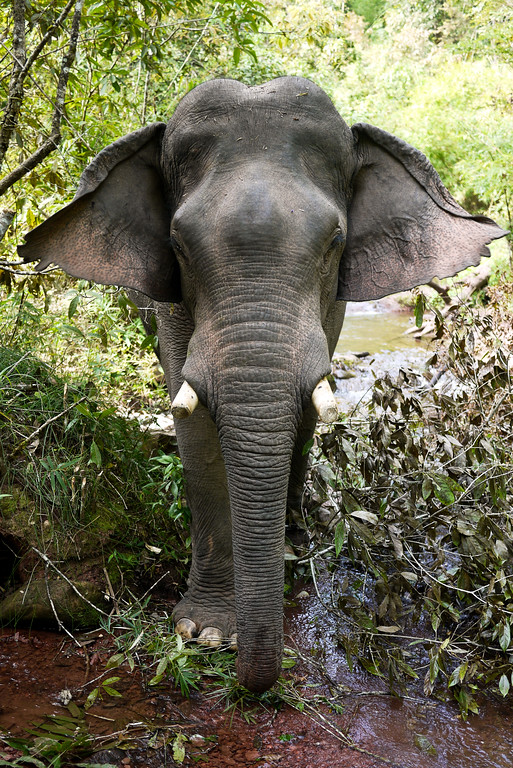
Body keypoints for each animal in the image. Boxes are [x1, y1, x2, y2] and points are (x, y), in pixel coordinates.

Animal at [19, 77, 506, 693]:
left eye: (334, 242)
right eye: (178, 245)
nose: (255, 679)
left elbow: (303, 406)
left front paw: (276, 561)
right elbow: (196, 430)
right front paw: (205, 633)